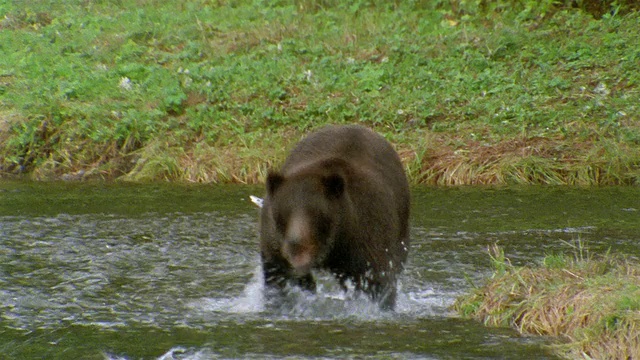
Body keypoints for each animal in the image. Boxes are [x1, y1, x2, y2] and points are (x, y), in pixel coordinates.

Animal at [258, 124, 410, 310]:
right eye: (285, 211)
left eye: (314, 212)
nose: (296, 242)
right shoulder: (274, 245)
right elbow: (278, 278)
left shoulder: (366, 232)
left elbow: (377, 279)